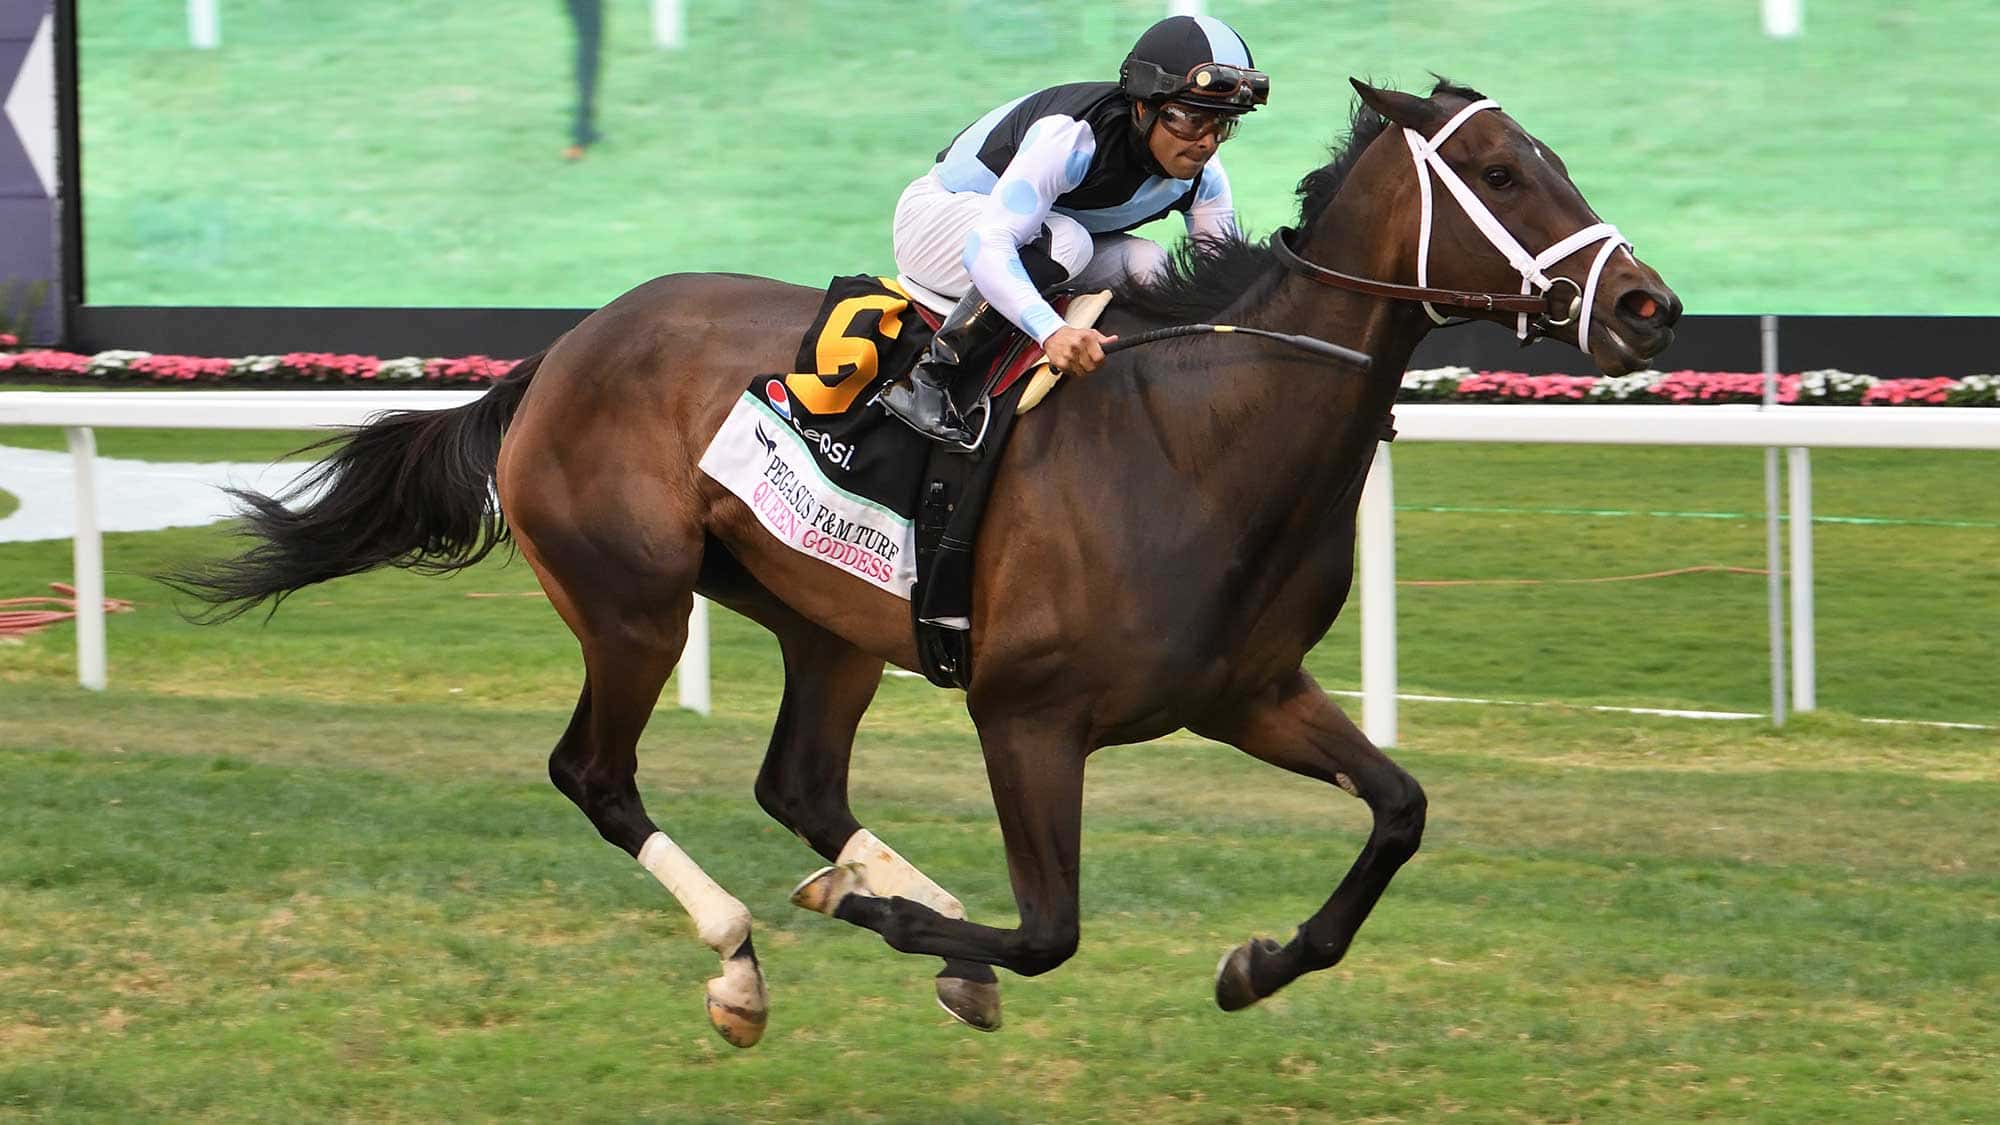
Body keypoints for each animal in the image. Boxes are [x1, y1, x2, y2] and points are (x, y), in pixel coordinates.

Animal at [169, 79, 1680, 1047]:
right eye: (1501, 174)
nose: (1648, 304)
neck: (1200, 438)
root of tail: (563, 348)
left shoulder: (1247, 693)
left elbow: (1400, 810)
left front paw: (1256, 965)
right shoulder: (1028, 715)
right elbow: (1052, 927)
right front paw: (903, 934)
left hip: (825, 625)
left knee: (798, 783)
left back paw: (880, 895)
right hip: (633, 602)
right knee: (596, 775)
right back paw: (747, 960)